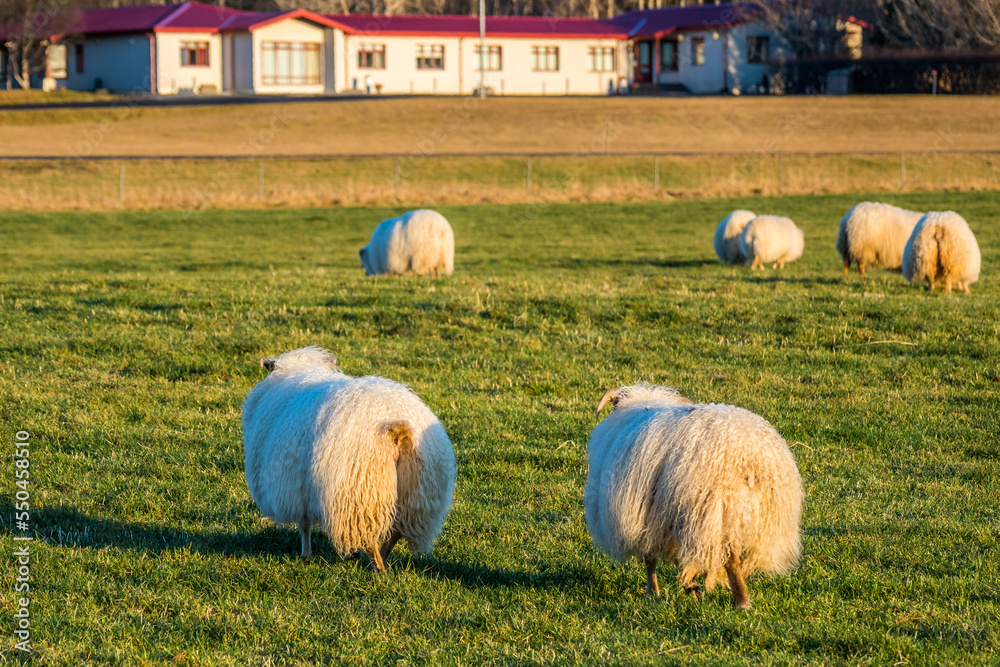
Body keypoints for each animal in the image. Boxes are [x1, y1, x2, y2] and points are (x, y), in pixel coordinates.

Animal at [244, 348, 456, 572]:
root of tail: (396, 426)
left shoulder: (297, 488)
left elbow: (304, 525)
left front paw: (306, 555)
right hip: (418, 492)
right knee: (397, 532)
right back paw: (378, 559)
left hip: (358, 491)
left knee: (369, 536)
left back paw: (377, 568)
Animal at [584, 384, 804, 608]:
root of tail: (749, 458)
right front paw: (687, 586)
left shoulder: (646, 515)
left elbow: (650, 557)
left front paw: (654, 592)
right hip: (754, 518)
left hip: (714, 510)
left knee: (729, 558)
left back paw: (740, 601)